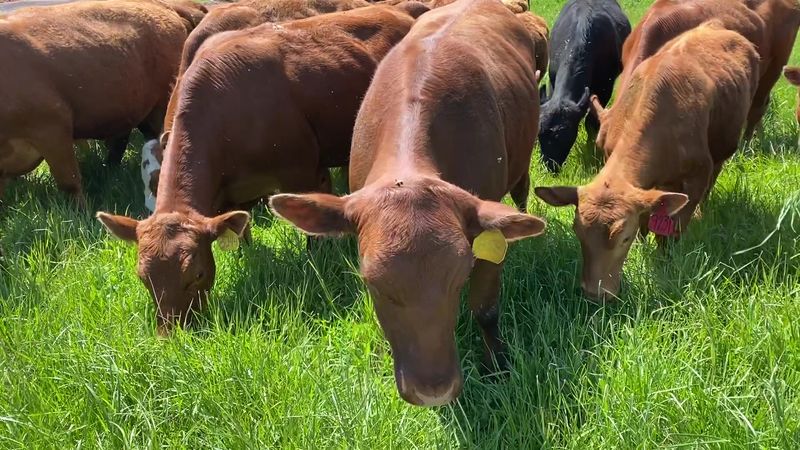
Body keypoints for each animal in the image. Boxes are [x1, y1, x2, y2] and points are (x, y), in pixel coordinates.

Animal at [96, 4, 425, 335]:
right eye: (144, 278)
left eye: (197, 274)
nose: (173, 334)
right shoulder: (229, 194)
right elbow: (242, 234)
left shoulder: (305, 173)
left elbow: (314, 237)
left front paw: (319, 265)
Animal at [535, 22, 760, 301]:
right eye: (578, 232)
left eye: (623, 238)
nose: (595, 293)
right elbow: (645, 218)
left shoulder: (697, 175)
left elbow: (674, 228)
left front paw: (666, 259)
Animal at [538, 0, 630, 172]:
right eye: (539, 134)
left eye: (566, 135)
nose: (550, 166)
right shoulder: (552, 80)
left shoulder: (605, 86)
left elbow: (592, 122)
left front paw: (591, 149)